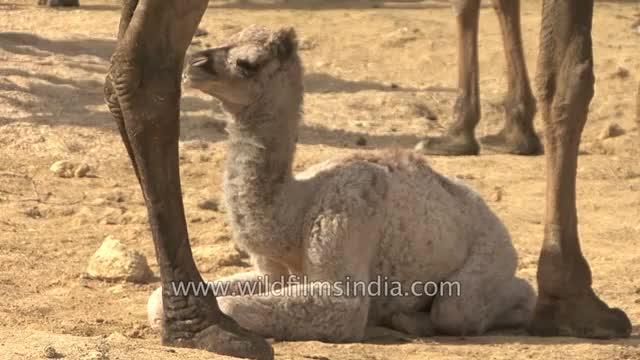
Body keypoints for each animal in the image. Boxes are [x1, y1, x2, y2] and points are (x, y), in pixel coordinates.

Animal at [148, 25, 532, 340]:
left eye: (247, 63)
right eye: (225, 41)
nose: (193, 64)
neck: (294, 212)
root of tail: (494, 218)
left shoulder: (345, 222)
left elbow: (240, 307)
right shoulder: (273, 274)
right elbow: (156, 300)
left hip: (492, 255)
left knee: (463, 306)